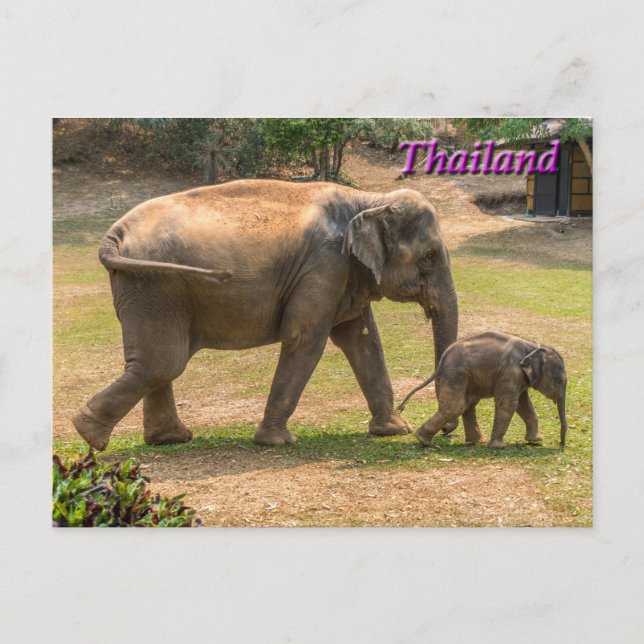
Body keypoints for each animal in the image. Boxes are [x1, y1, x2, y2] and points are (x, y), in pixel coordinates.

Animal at [72, 179, 458, 450]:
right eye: (429, 256)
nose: (444, 432)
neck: (368, 199)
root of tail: (113, 235)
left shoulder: (345, 274)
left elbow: (362, 340)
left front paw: (392, 430)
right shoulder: (325, 266)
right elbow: (305, 337)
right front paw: (277, 441)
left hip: (145, 290)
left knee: (157, 363)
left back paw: (170, 439)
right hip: (153, 287)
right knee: (163, 363)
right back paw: (90, 434)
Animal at [397, 331, 568, 448]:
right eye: (559, 381)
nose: (561, 444)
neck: (533, 347)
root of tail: (444, 356)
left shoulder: (519, 377)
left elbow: (523, 404)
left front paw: (536, 441)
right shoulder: (510, 372)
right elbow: (509, 404)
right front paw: (499, 447)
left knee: (467, 404)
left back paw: (476, 441)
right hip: (455, 373)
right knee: (455, 407)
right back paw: (423, 441)